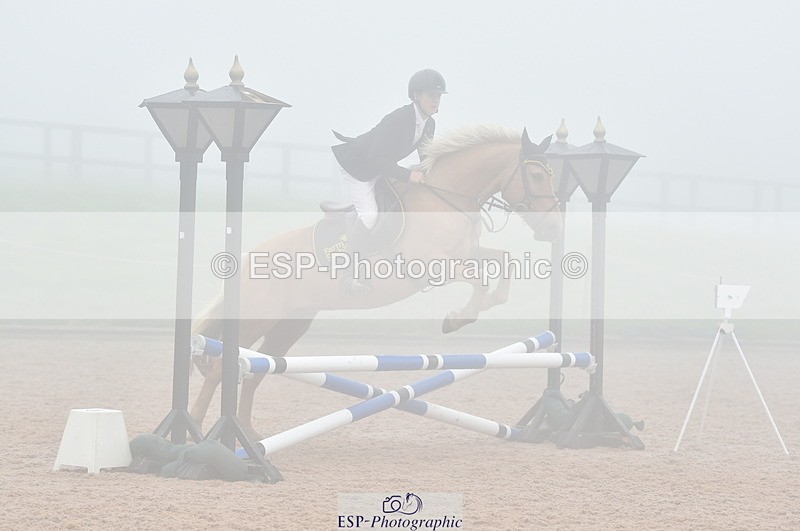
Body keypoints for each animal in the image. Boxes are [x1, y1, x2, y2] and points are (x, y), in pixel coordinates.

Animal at [189, 124, 563, 439]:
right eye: (534, 176)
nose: (552, 227)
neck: (446, 198)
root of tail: (247, 258)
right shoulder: (432, 266)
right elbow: (480, 280)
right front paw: (456, 319)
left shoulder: (468, 253)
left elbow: (504, 261)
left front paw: (470, 312)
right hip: (256, 318)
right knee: (222, 365)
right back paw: (196, 429)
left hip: (290, 325)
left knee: (256, 370)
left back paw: (249, 434)